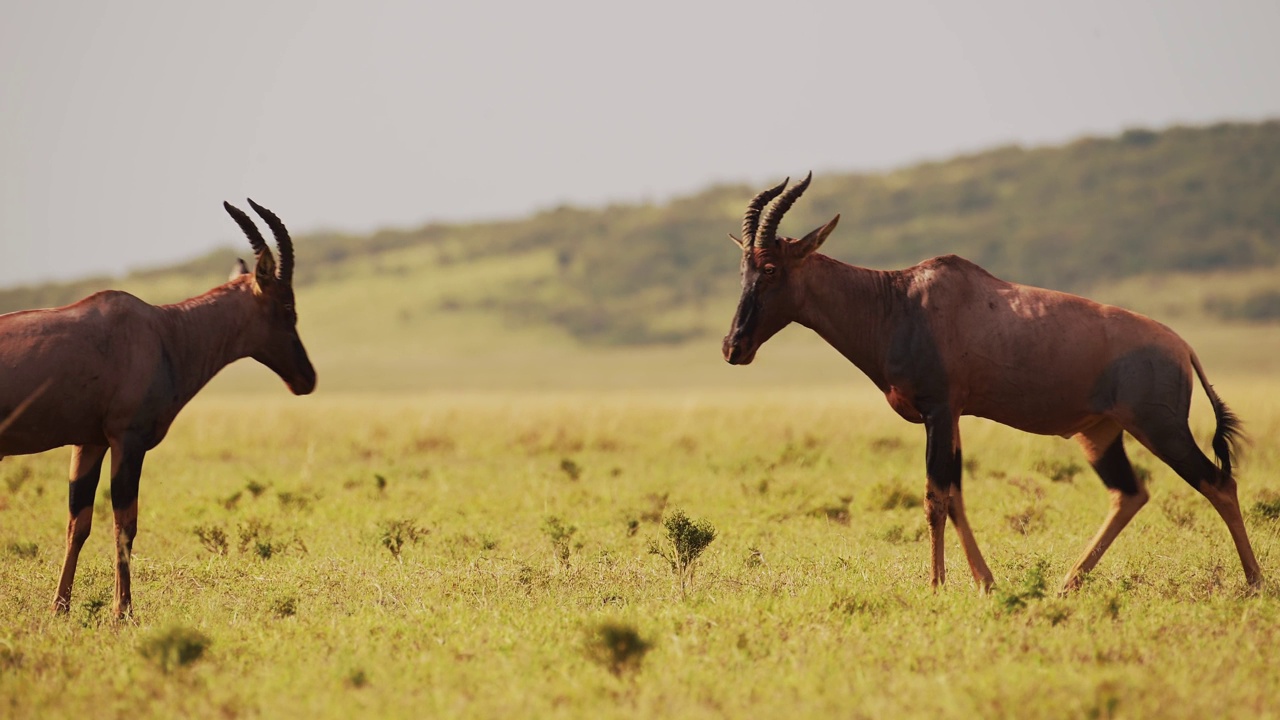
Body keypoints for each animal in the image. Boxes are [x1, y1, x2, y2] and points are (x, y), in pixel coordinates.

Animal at [0, 198, 317, 614]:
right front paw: (124, 612)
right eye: (286, 304)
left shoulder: (90, 442)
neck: (165, 331)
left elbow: (78, 524)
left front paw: (60, 608)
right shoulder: (128, 440)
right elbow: (125, 524)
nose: (307, 379)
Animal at [727, 172, 1264, 589]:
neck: (899, 300)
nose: (733, 347)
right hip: (1100, 434)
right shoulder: (954, 416)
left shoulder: (939, 411)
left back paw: (1254, 582)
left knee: (1219, 483)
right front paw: (984, 583)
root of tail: (1183, 347)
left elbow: (935, 497)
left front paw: (938, 586)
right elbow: (956, 496)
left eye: (771, 268)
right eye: (743, 268)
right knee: (1130, 494)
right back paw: (1067, 583)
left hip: (1161, 428)